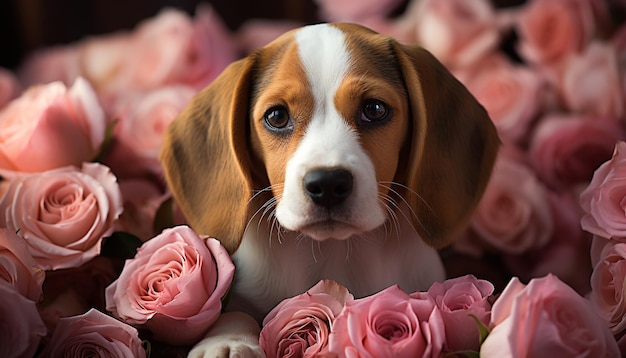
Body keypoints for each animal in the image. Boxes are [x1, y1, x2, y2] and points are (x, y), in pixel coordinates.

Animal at [160, 23, 498, 358]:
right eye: (277, 116)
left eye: (375, 109)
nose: (327, 184)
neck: (333, 252)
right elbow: (236, 311)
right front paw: (228, 341)